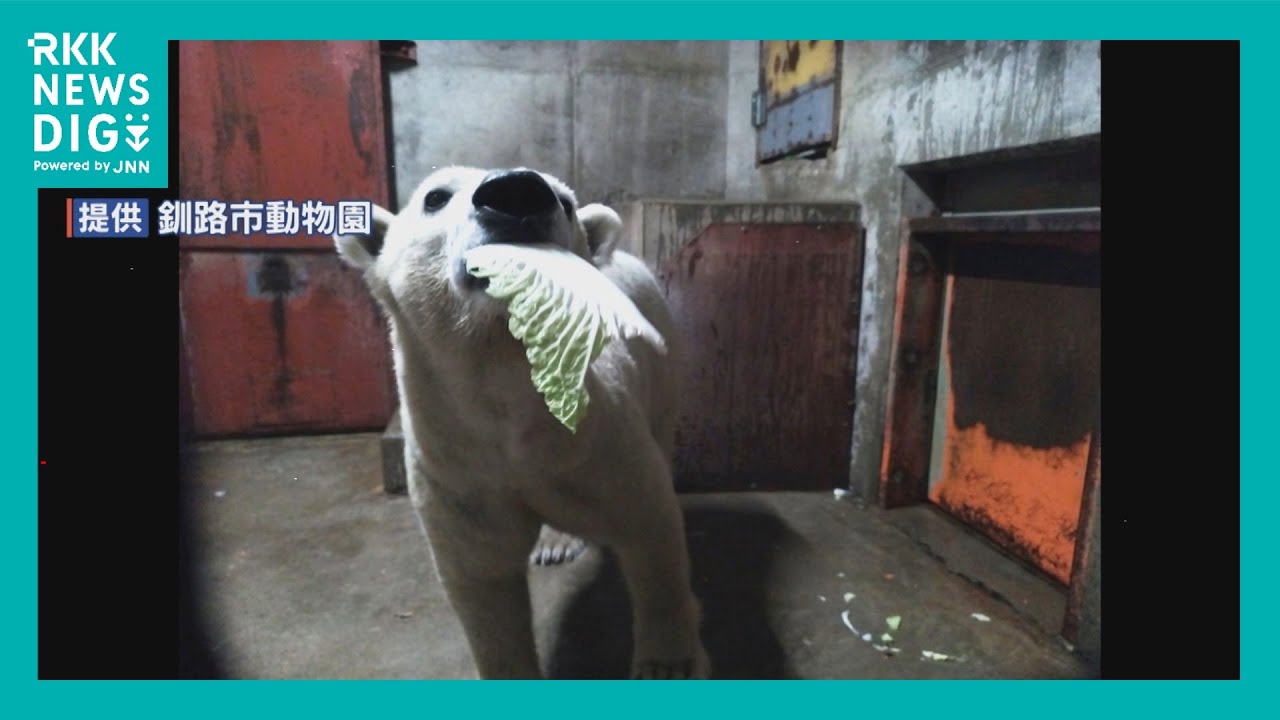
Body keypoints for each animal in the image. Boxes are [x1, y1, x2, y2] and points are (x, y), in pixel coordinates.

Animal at [334, 166, 710, 680]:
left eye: (566, 202)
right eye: (435, 197)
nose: (516, 192)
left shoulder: (599, 446)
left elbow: (651, 529)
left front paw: (668, 664)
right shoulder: (459, 474)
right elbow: (483, 582)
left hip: (662, 358)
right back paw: (555, 541)